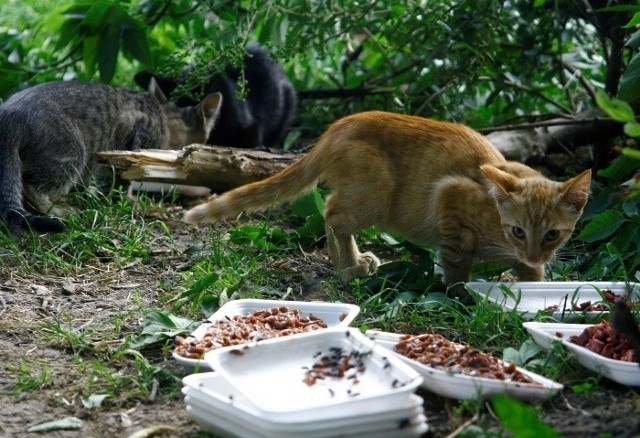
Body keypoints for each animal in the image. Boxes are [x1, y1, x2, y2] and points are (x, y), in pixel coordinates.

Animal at [0, 80, 222, 234]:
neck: (164, 117)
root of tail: (9, 115)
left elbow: (93, 182)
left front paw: (91, 194)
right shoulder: (135, 146)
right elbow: (124, 181)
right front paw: (132, 202)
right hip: (71, 152)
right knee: (32, 188)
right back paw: (57, 210)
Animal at [184, 111, 592, 288]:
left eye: (553, 234)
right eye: (518, 231)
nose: (534, 255)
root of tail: (336, 128)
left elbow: (532, 277)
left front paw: (531, 284)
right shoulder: (450, 198)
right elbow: (456, 265)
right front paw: (459, 294)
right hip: (374, 193)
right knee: (333, 213)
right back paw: (348, 268)